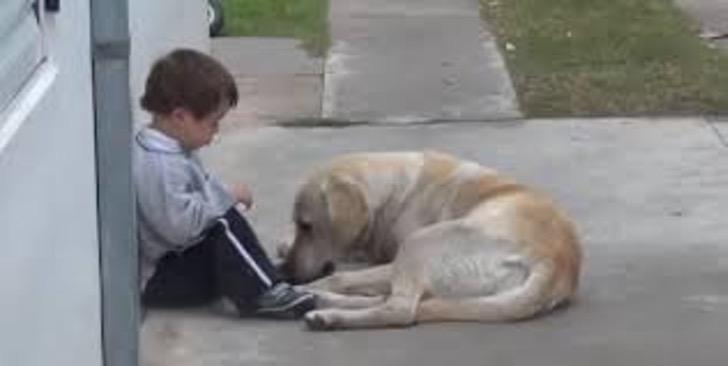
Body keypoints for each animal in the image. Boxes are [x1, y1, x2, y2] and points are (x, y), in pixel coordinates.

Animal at [282, 150, 584, 330]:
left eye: (306, 226)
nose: (287, 271)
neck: (396, 190)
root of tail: (557, 266)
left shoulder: (391, 259)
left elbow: (341, 276)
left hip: (419, 243)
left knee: (400, 310)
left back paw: (323, 307)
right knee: (399, 302)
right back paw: (320, 302)